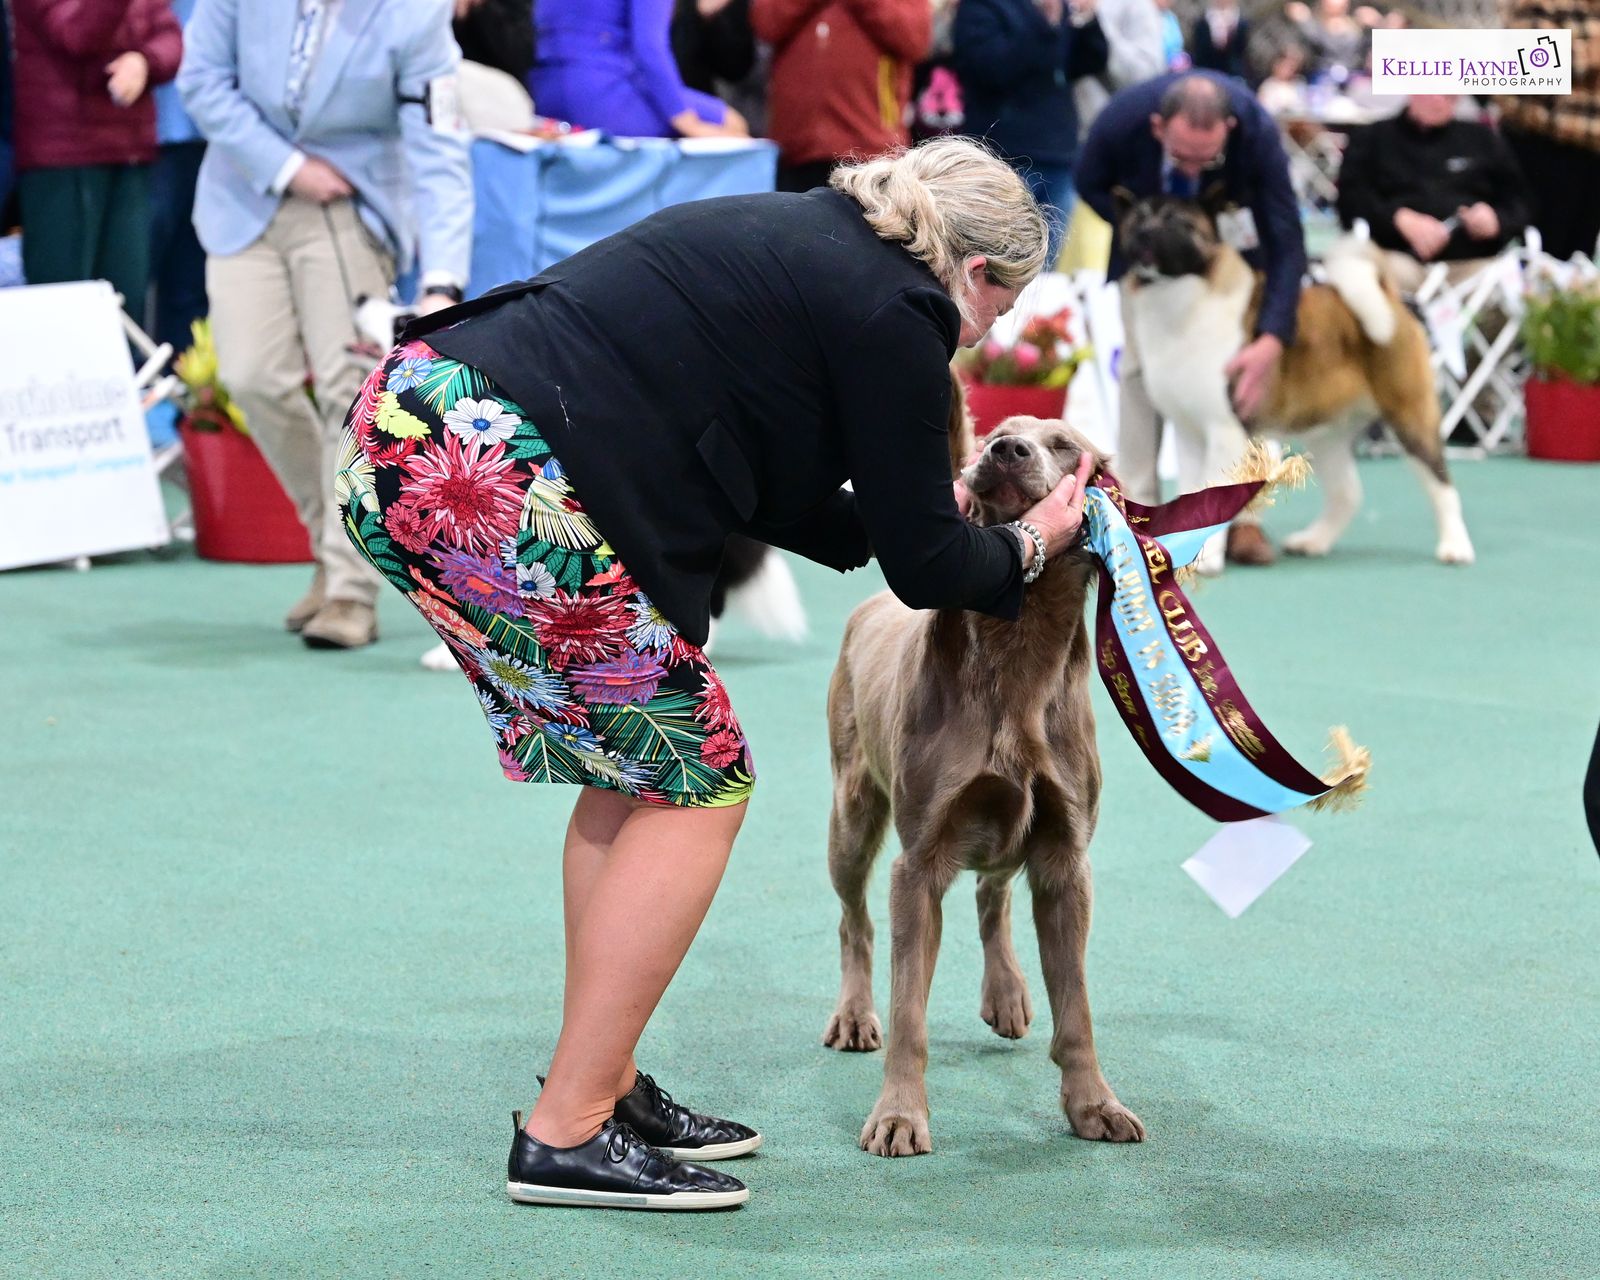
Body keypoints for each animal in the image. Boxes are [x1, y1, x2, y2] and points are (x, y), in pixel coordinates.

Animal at [822, 411, 1145, 1157]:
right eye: (1001, 430)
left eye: (1065, 446)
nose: (1005, 450)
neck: (1016, 648)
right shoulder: (919, 860)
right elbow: (908, 1010)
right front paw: (899, 1115)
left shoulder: (1065, 856)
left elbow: (1076, 1007)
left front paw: (1095, 1104)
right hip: (852, 812)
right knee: (856, 920)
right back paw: (854, 1014)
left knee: (992, 892)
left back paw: (1006, 993)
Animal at [1116, 191, 1475, 571]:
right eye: (1138, 218)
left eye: (1176, 220)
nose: (1145, 234)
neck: (1184, 300)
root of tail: (1392, 299)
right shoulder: (1188, 434)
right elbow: (1191, 493)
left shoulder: (1224, 430)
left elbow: (1211, 498)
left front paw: (1207, 558)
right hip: (1328, 435)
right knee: (1348, 493)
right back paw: (1313, 541)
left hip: (1409, 416)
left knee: (1442, 485)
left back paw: (1455, 547)